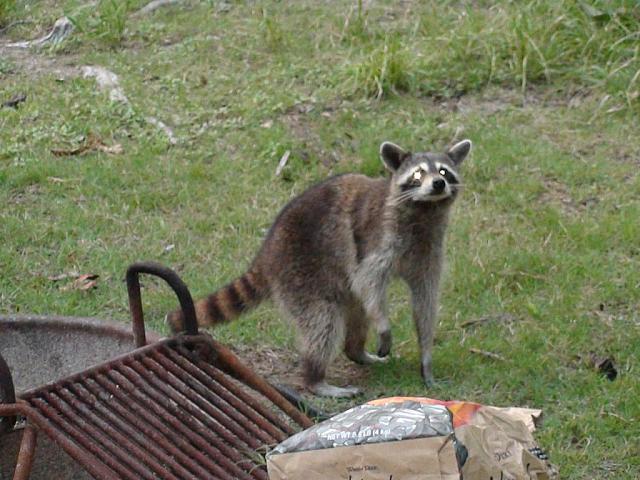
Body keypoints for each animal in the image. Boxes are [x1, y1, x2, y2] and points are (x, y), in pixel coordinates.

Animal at [168, 139, 472, 398]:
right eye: (418, 174)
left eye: (444, 171)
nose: (438, 184)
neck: (424, 211)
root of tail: (267, 252)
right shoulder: (380, 238)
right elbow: (368, 280)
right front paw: (385, 327)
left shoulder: (428, 249)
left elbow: (425, 301)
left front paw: (426, 358)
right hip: (301, 271)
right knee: (324, 321)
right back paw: (315, 378)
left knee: (356, 312)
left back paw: (355, 351)